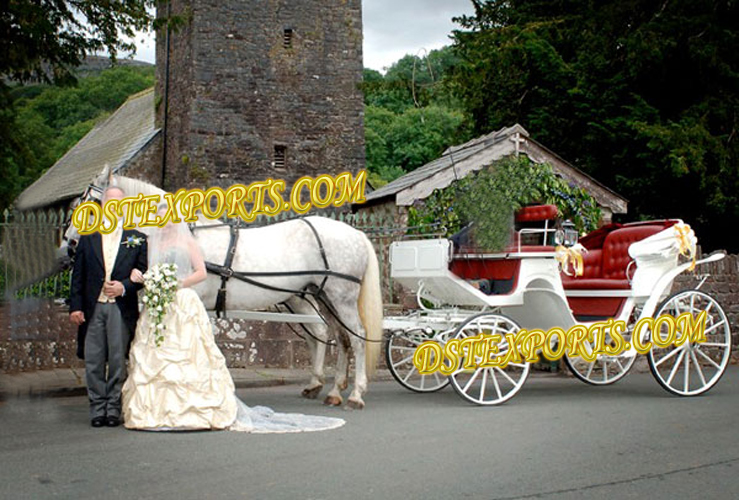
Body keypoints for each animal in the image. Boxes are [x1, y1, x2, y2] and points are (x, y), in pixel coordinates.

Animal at [64, 170, 384, 408]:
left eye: (87, 206)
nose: (69, 245)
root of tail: (356, 233)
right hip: (322, 297)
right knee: (337, 337)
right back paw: (331, 389)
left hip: (341, 298)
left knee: (357, 338)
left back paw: (355, 394)